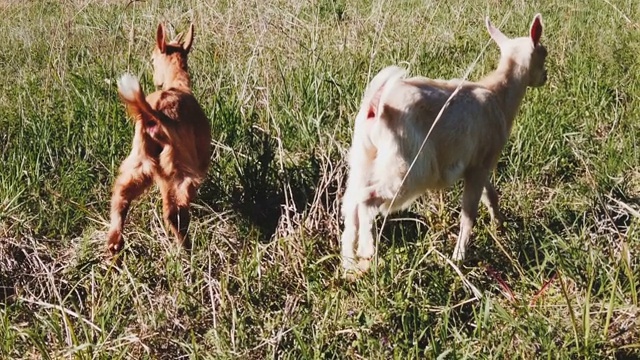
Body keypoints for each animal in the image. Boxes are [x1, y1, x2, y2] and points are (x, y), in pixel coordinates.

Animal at [342, 14, 548, 272]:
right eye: (544, 53)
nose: (545, 77)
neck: (498, 95)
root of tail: (376, 107)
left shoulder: (478, 163)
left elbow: (490, 195)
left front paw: (499, 226)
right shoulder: (481, 162)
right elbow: (469, 213)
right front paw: (460, 256)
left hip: (363, 158)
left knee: (350, 203)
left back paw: (349, 263)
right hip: (407, 167)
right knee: (366, 199)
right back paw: (367, 250)